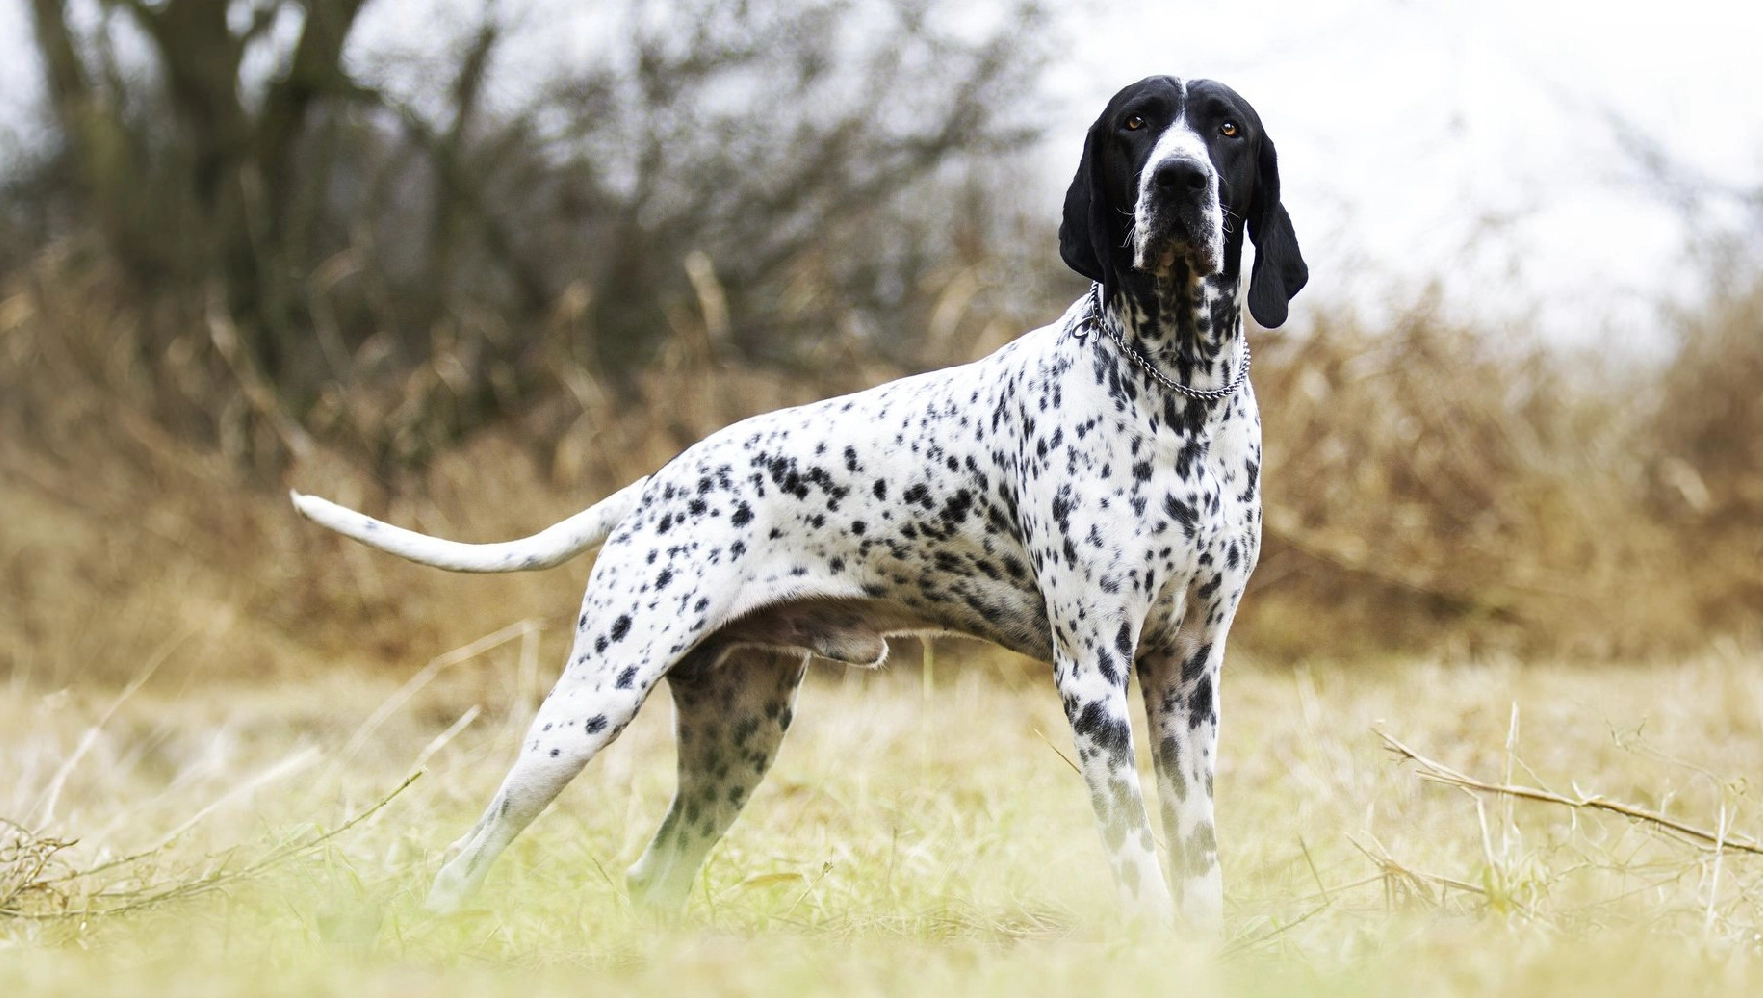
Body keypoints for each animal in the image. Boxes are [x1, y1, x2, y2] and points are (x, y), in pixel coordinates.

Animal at [296, 76, 1304, 930]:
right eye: (1136, 124)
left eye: (1226, 130)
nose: (1179, 179)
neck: (1178, 395)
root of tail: (660, 480)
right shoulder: (1092, 674)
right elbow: (1139, 866)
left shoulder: (1186, 677)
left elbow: (1197, 865)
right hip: (587, 710)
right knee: (462, 861)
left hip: (739, 729)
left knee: (653, 875)